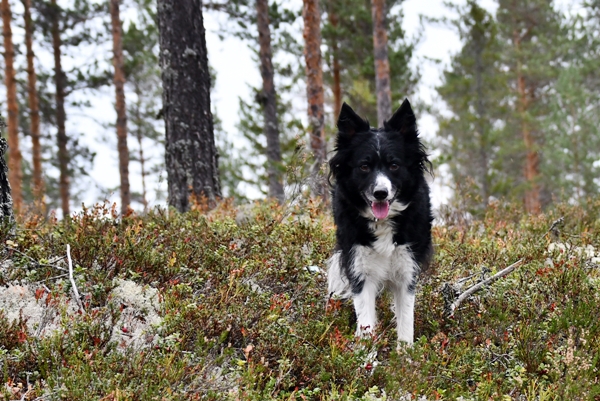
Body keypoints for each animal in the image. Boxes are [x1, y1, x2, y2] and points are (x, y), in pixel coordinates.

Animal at [326, 99, 434, 344]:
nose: (381, 193)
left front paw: (405, 353)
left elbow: (405, 324)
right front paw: (365, 353)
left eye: (394, 165)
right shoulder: (360, 269)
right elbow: (366, 322)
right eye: (364, 166)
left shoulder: (406, 269)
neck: (382, 223)